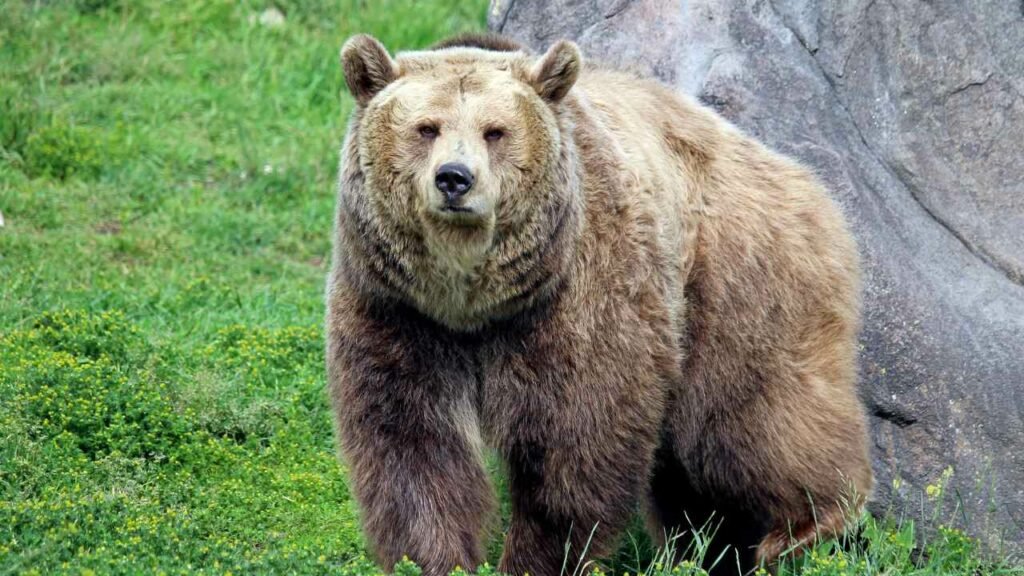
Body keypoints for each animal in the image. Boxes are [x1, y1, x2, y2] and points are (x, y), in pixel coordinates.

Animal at [326, 31, 873, 576]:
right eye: (426, 128)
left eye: (495, 131)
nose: (454, 178)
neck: (473, 301)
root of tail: (801, 177)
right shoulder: (397, 310)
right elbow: (411, 444)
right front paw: (434, 558)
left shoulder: (579, 294)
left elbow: (577, 436)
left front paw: (539, 557)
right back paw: (710, 549)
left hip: (735, 279)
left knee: (750, 420)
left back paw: (807, 528)